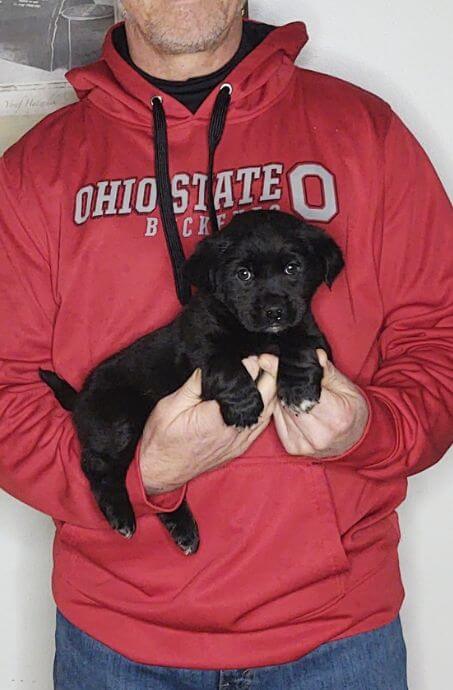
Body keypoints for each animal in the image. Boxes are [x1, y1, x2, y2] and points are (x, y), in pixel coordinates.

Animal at [40, 208, 342, 552]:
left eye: (293, 268)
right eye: (243, 275)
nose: (274, 312)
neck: (260, 336)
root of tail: (80, 397)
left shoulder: (311, 332)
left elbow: (302, 343)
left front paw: (299, 388)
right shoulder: (201, 343)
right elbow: (224, 364)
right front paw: (244, 407)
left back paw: (182, 529)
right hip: (119, 421)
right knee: (98, 466)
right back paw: (122, 517)